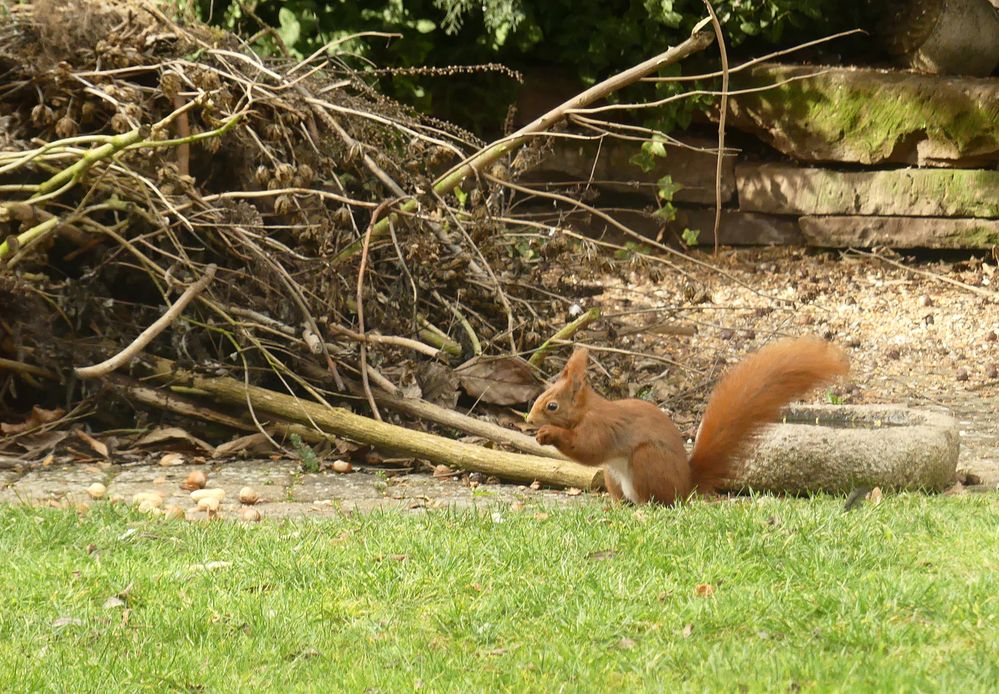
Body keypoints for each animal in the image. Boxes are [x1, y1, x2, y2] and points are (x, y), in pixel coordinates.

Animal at [528, 338, 848, 506]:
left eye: (552, 405)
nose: (529, 419)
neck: (587, 411)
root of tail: (686, 485)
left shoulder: (602, 427)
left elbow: (587, 449)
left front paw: (548, 434)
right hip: (613, 476)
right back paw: (617, 505)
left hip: (647, 461)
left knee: (658, 500)